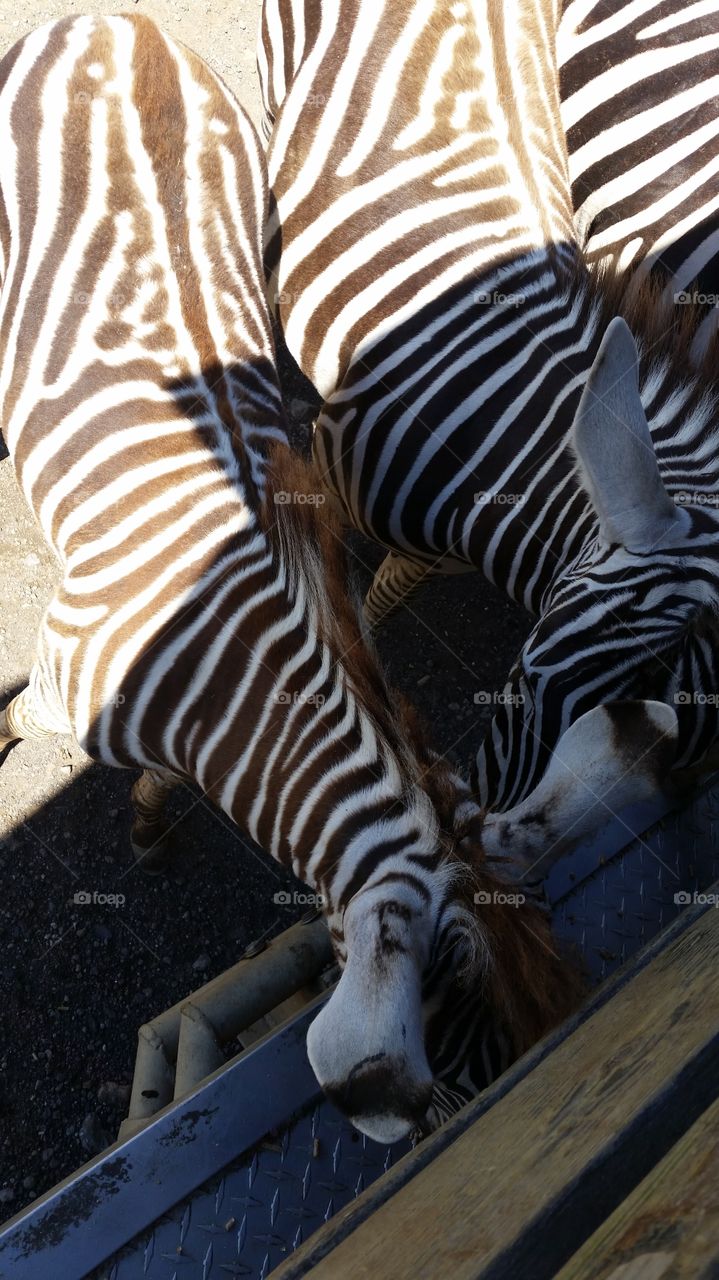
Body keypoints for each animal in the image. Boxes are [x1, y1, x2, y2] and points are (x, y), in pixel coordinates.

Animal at [0, 14, 585, 1143]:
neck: (225, 677)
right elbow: (24, 723)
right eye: (461, 1065)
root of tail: (117, 20)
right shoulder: (63, 677)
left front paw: (149, 814)